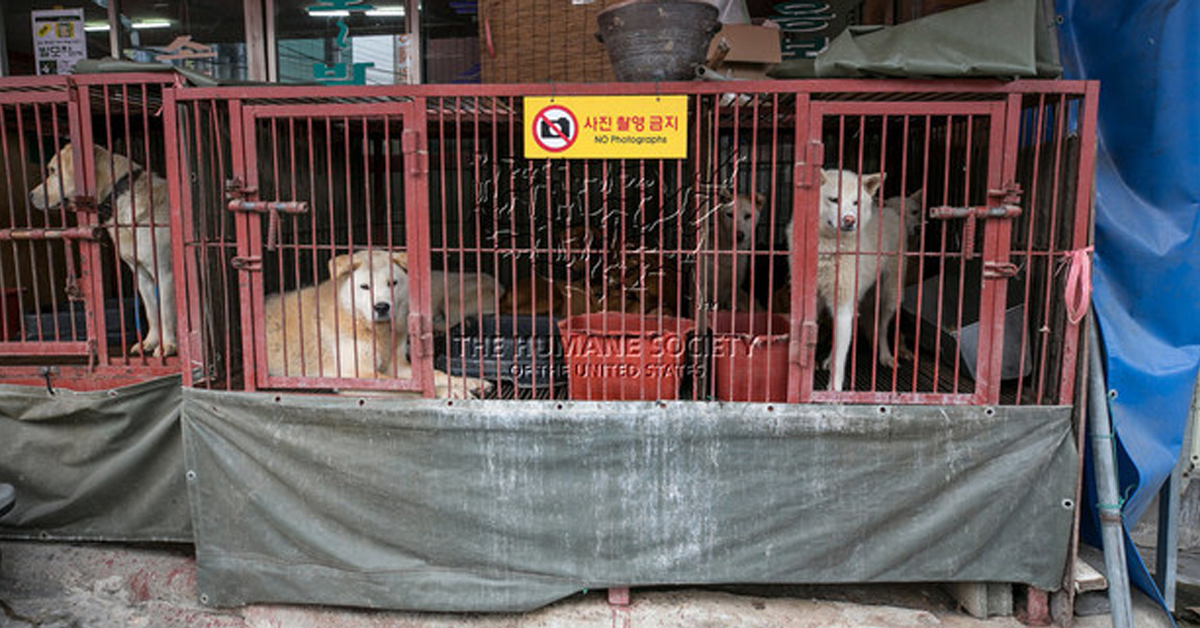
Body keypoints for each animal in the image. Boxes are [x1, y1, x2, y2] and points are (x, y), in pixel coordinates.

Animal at [27, 144, 175, 355]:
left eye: (54, 171)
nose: (30, 195)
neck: (119, 195)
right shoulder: (142, 275)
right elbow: (152, 312)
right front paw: (150, 342)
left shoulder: (165, 272)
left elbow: (167, 313)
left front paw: (168, 345)